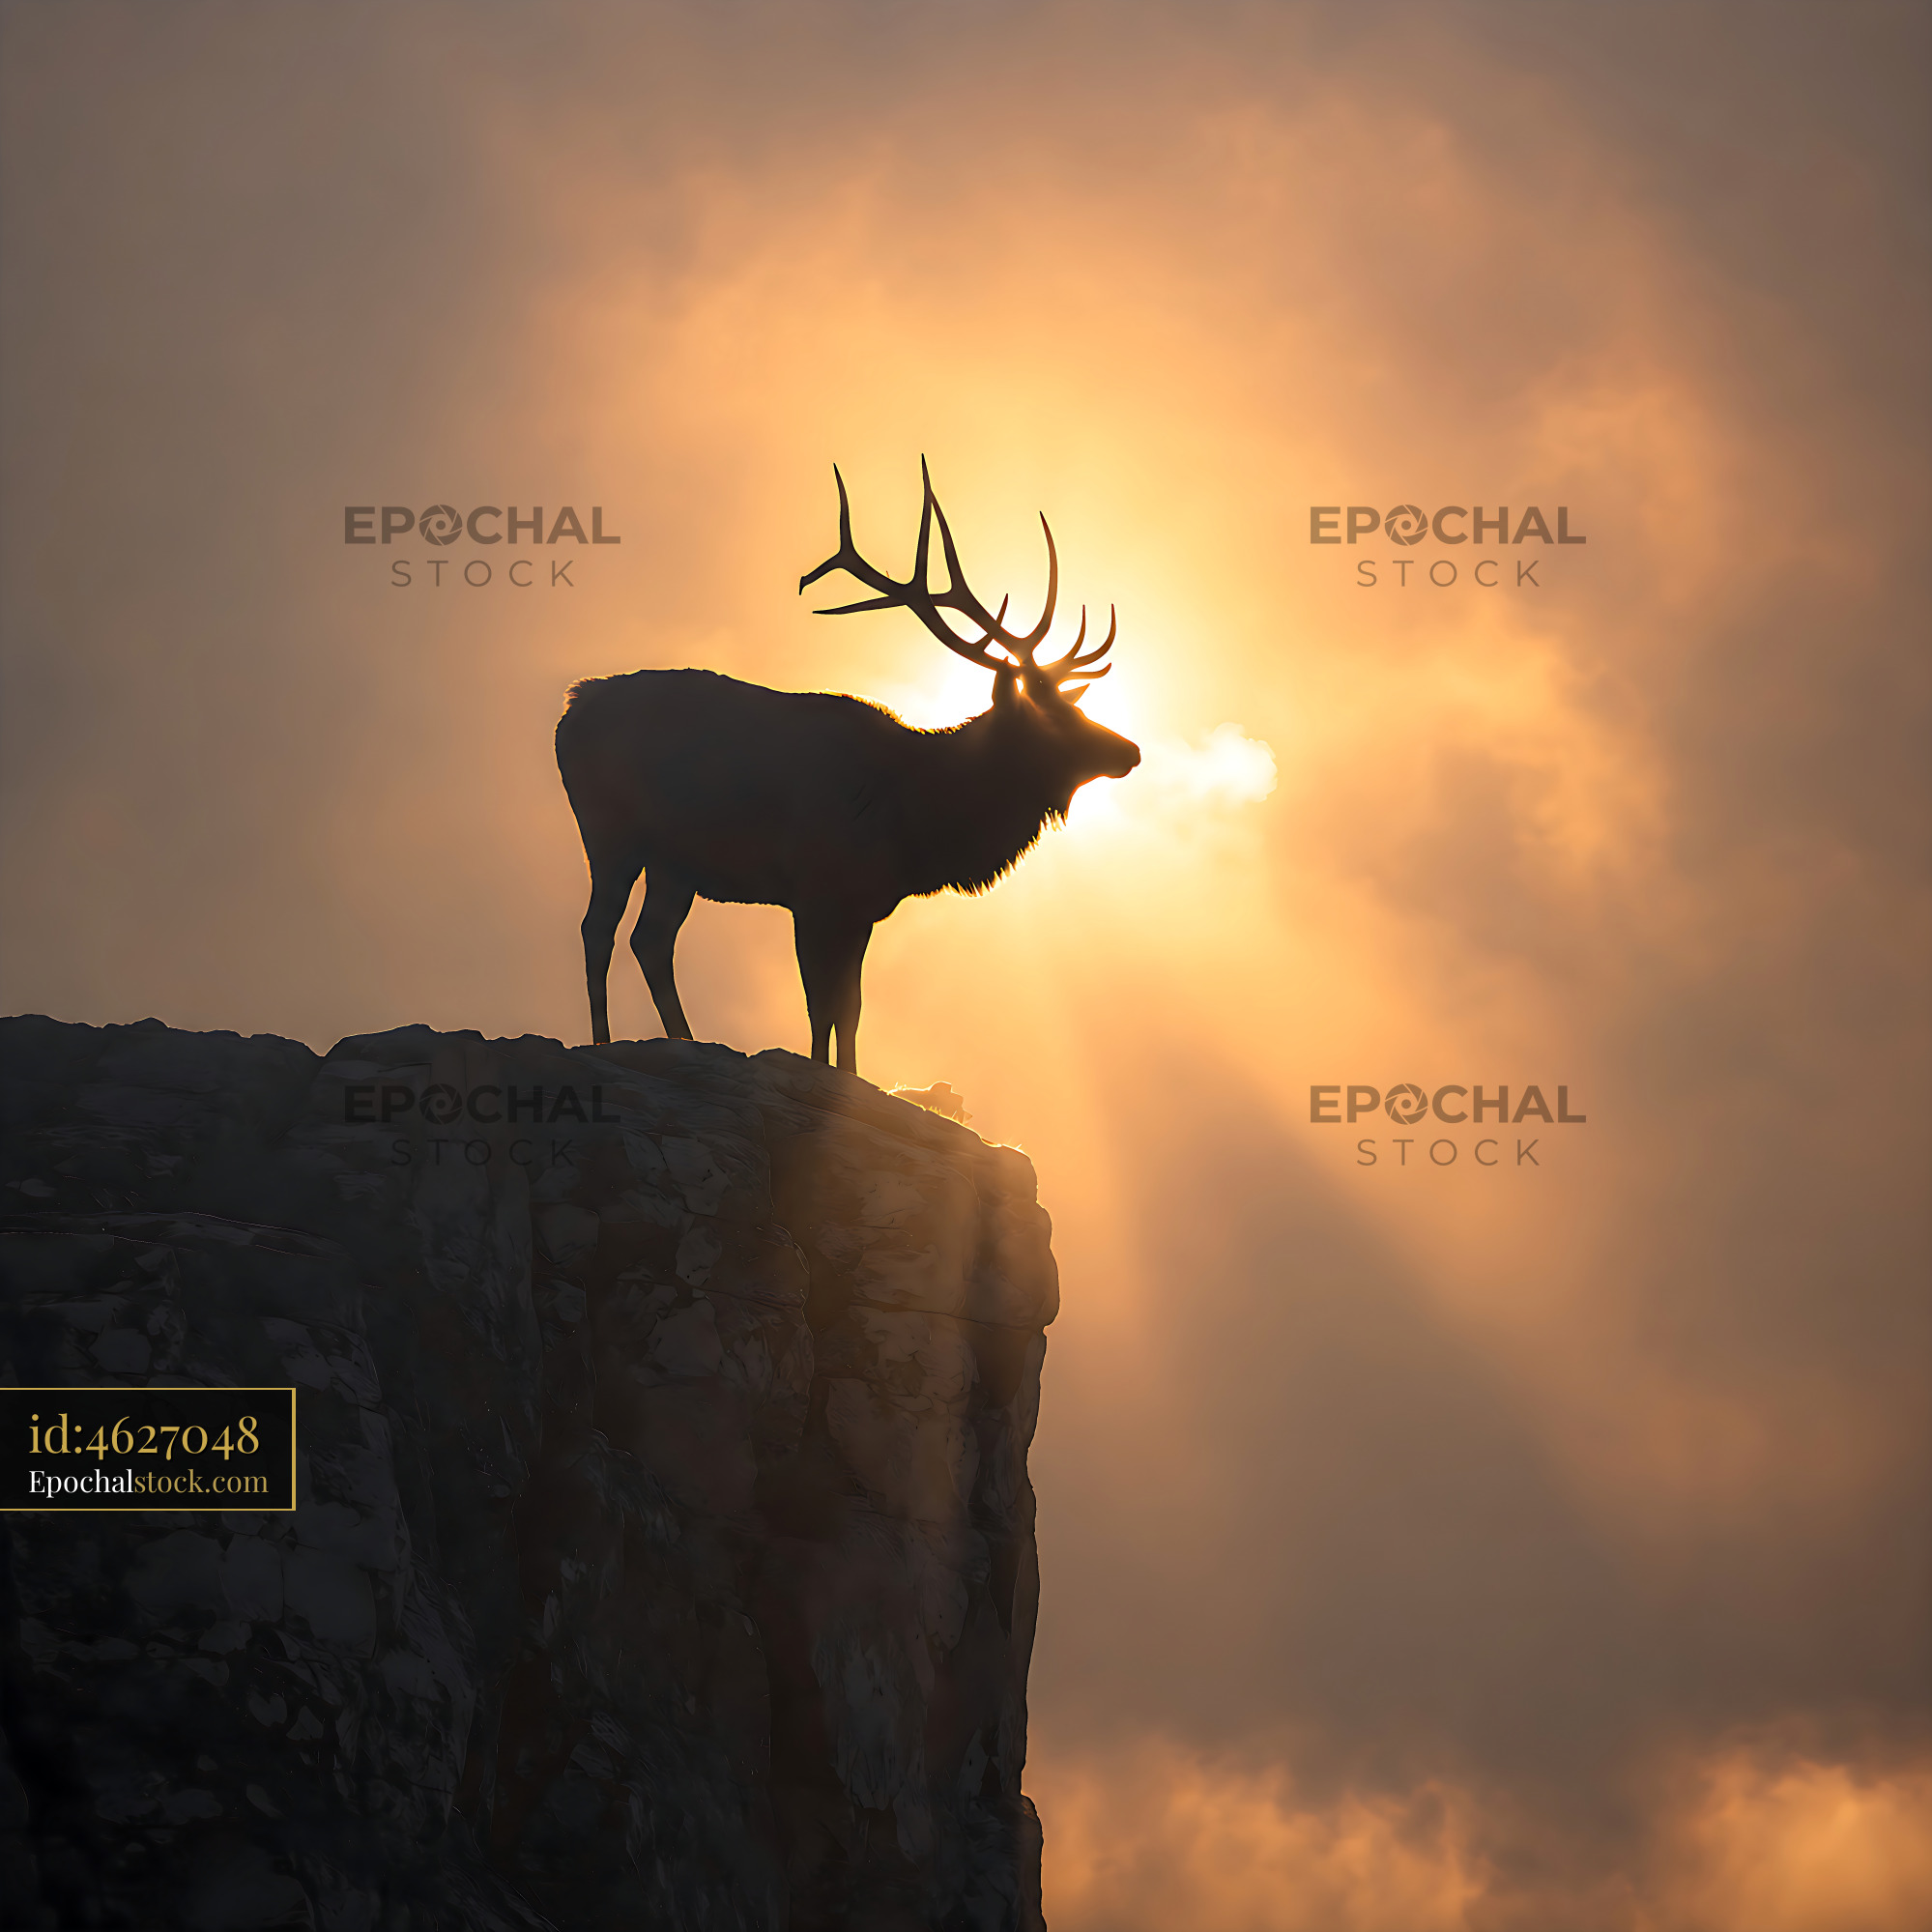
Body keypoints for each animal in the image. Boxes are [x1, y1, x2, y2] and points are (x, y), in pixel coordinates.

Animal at [555, 461, 1141, 1073]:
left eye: (1078, 707)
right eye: (1053, 716)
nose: (1130, 751)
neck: (913, 819)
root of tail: (571, 708)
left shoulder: (862, 905)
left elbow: (850, 1007)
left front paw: (851, 1075)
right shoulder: (815, 890)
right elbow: (820, 1003)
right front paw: (822, 1071)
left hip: (675, 863)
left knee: (650, 939)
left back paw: (686, 1042)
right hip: (609, 831)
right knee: (599, 928)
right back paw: (603, 1042)